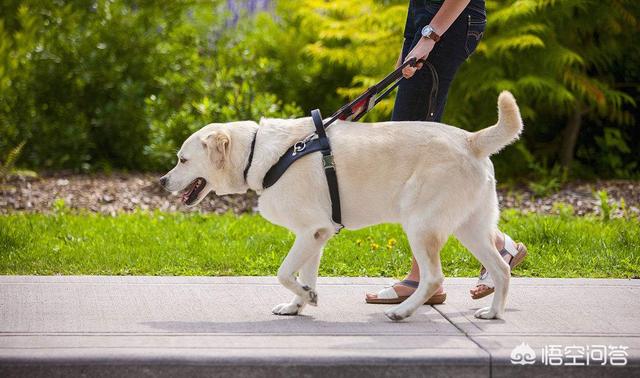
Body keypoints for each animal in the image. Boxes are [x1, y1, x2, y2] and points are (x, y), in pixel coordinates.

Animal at [161, 90, 524, 320]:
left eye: (182, 160)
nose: (162, 181)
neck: (256, 152)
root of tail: (471, 140)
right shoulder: (316, 235)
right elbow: (304, 274)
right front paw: (299, 303)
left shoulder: (311, 230)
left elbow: (283, 272)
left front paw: (305, 296)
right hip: (470, 227)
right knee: (501, 269)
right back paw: (493, 312)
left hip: (421, 226)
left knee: (434, 277)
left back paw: (402, 311)